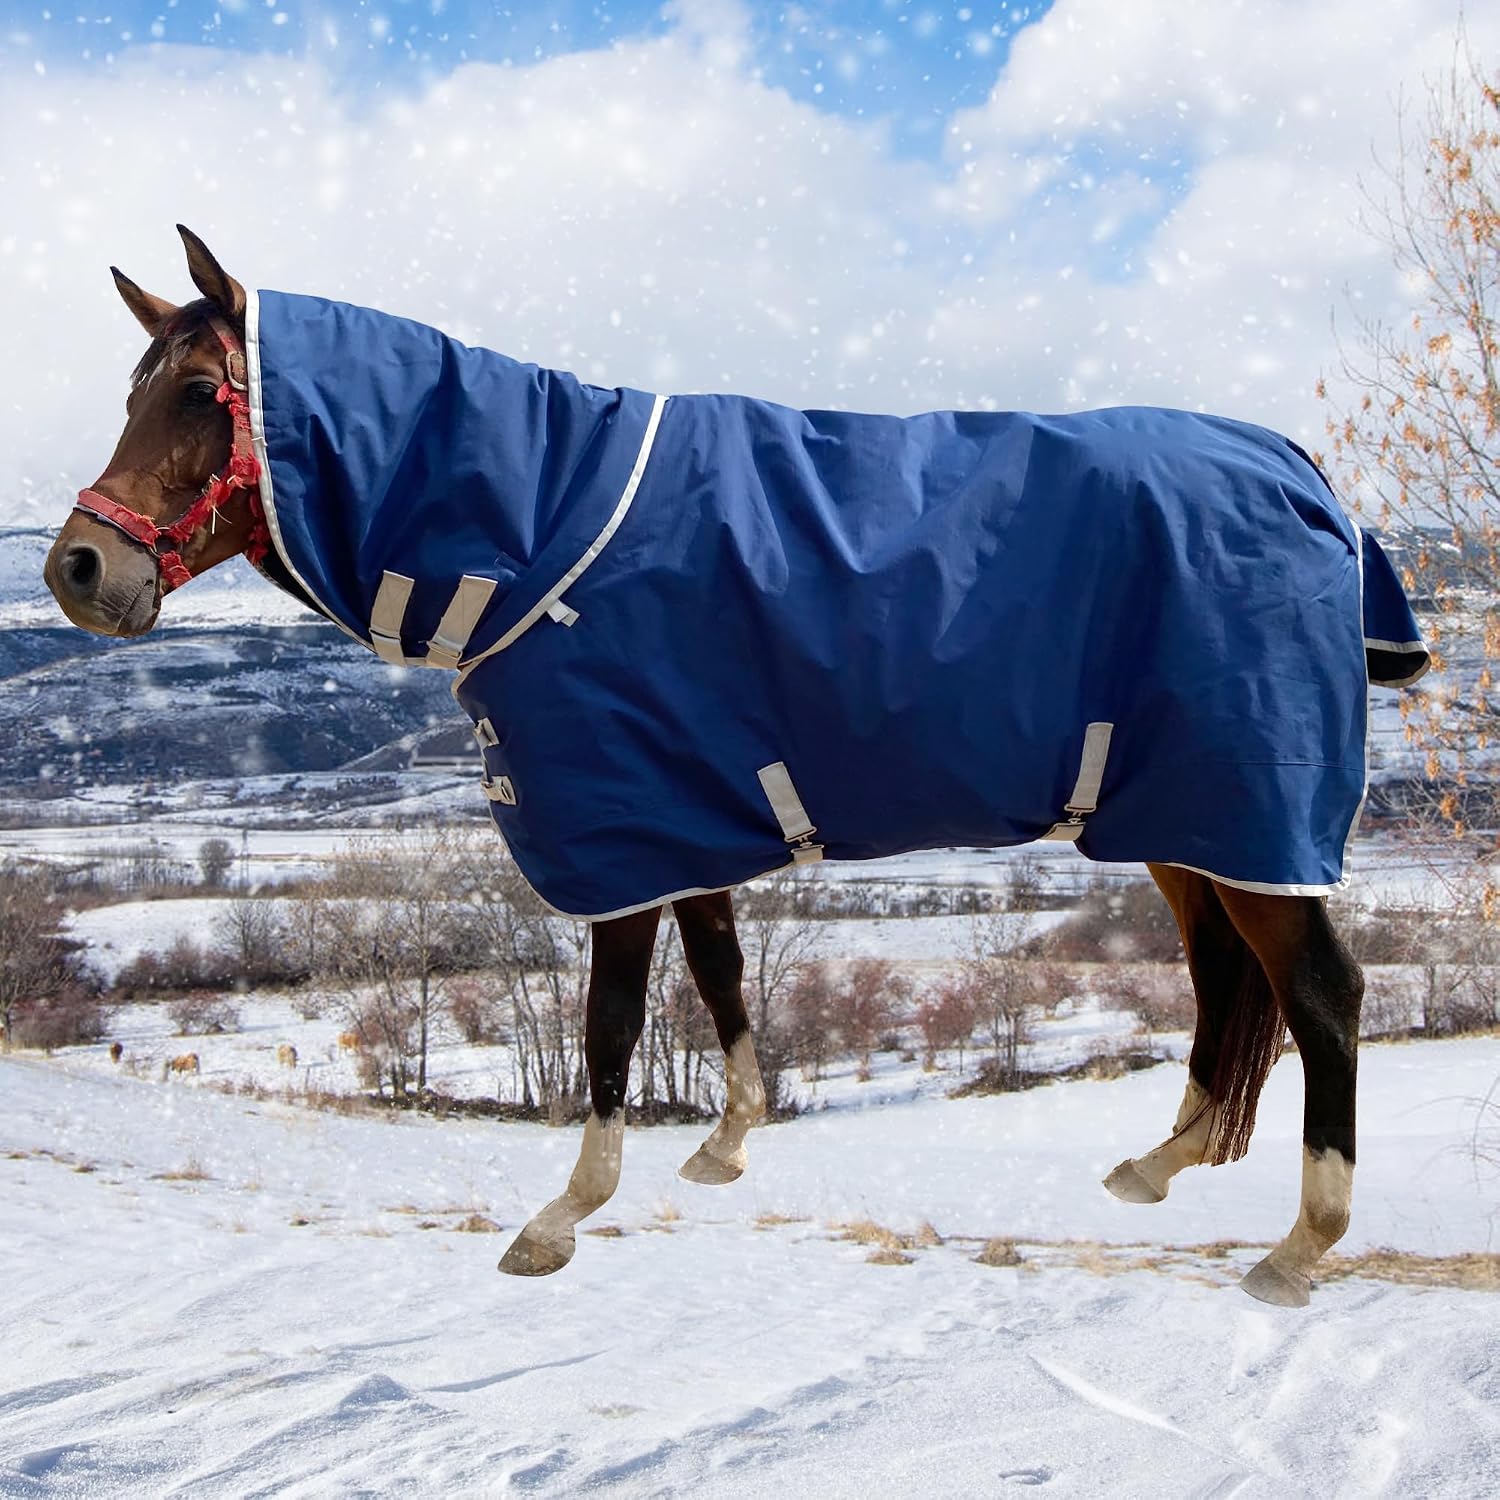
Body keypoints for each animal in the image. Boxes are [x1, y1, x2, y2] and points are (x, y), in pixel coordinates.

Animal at [44, 227, 1429, 1306]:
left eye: (202, 393)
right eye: (131, 389)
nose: (76, 570)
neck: (546, 532)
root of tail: (1301, 473)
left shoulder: (617, 832)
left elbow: (607, 1028)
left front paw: (562, 1217)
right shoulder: (682, 819)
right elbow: (720, 979)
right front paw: (725, 1144)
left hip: (1243, 808)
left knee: (1323, 997)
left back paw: (1299, 1248)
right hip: (1186, 821)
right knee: (1225, 980)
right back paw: (1162, 1163)